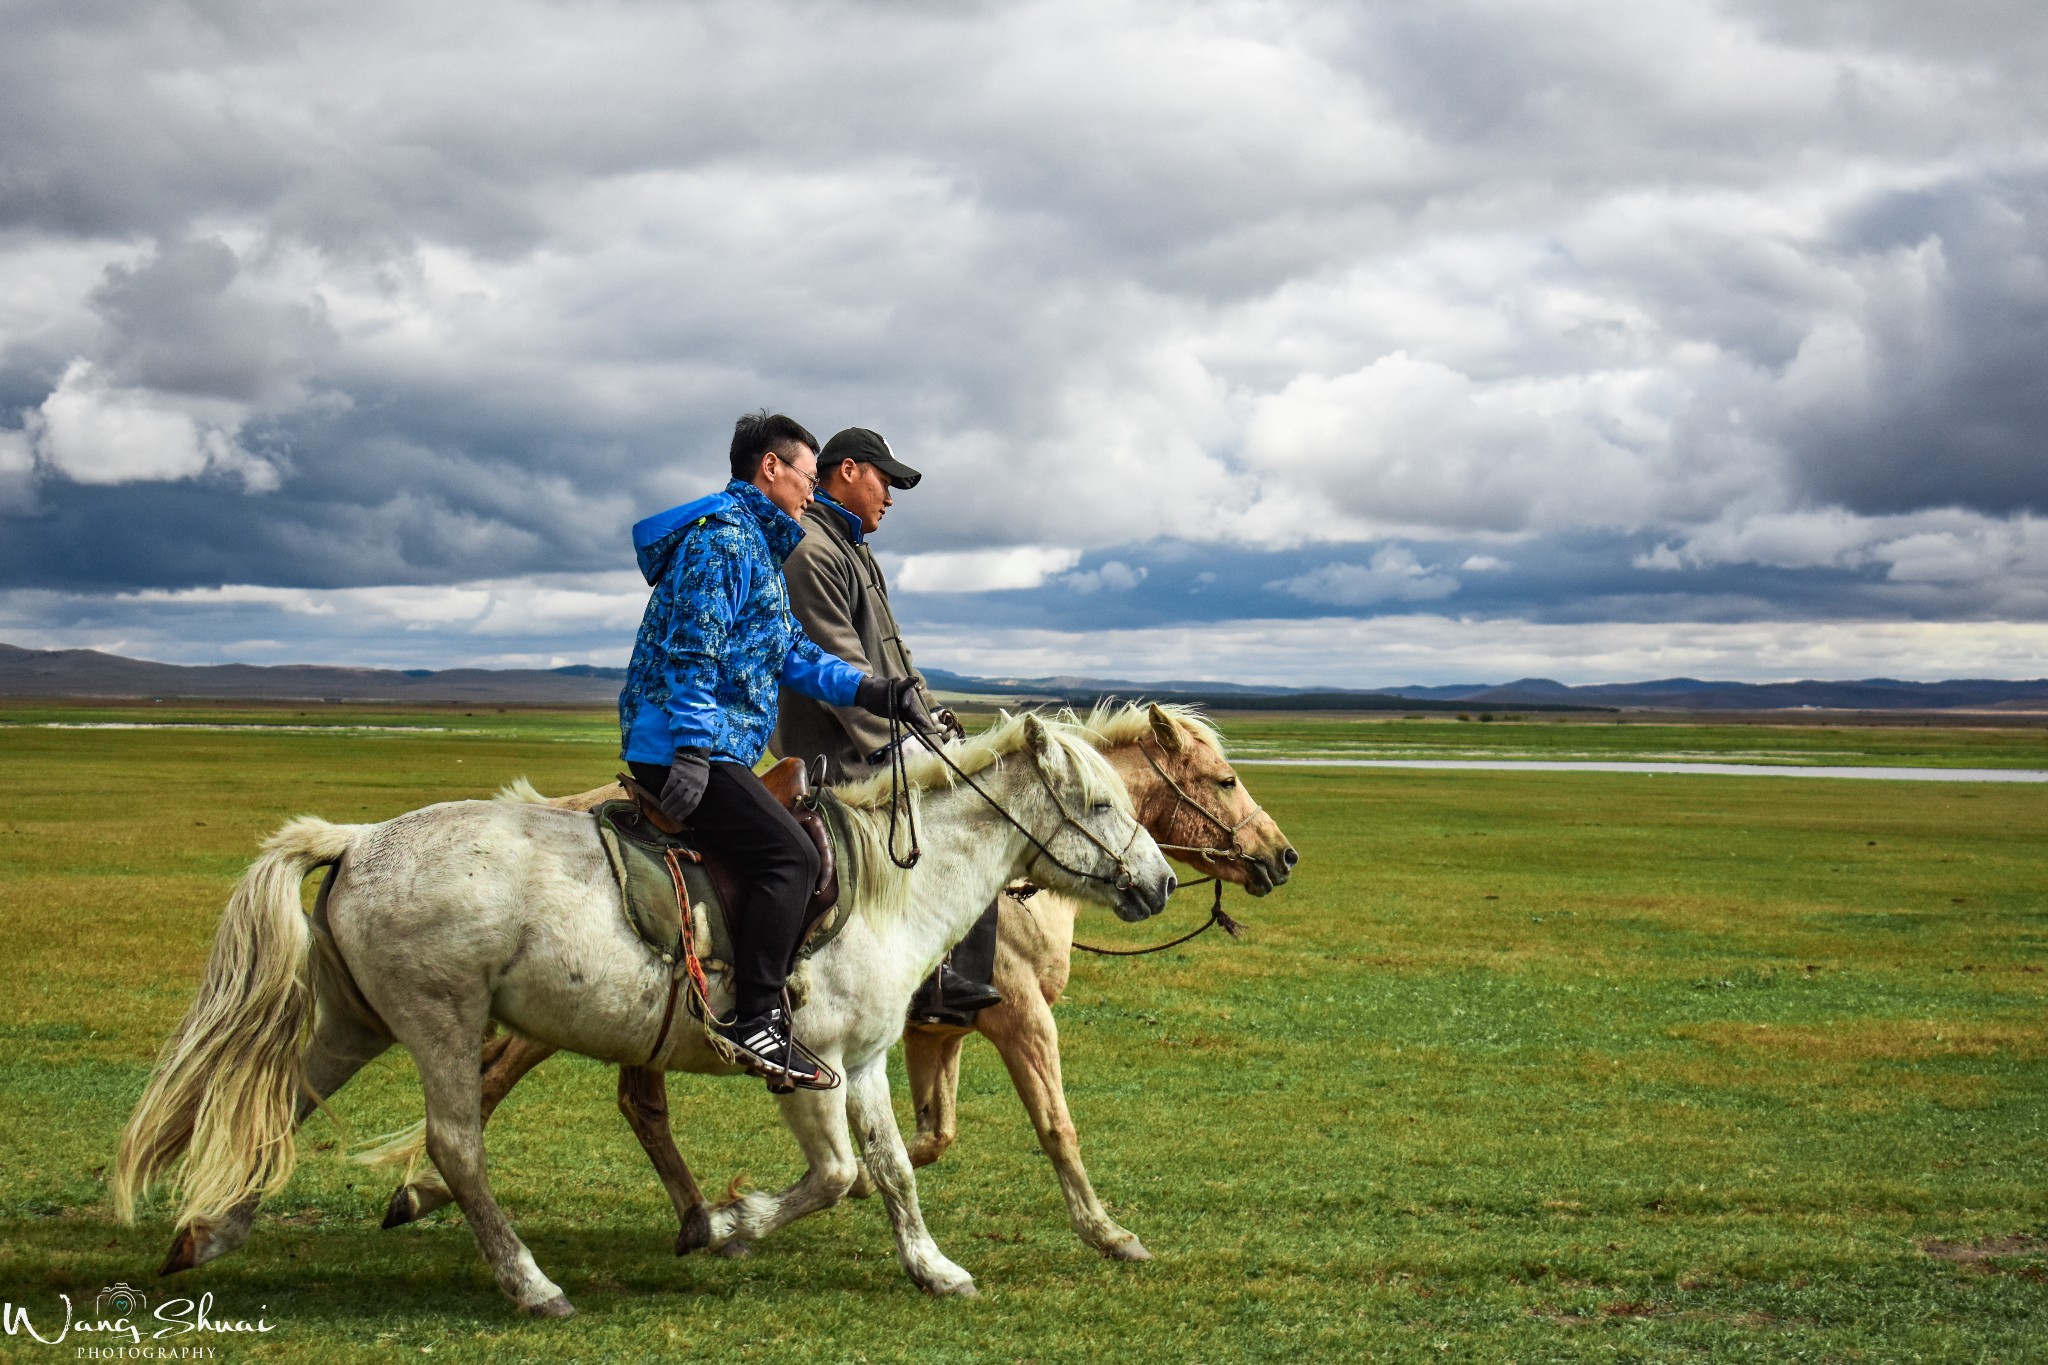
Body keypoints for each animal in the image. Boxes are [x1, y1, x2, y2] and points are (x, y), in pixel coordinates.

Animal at [116, 712, 1171, 1317]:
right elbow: (835, 1174)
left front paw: (934, 1268)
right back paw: (531, 1284)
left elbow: (893, 1170)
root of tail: (362, 837)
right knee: (456, 1143)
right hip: (440, 1021)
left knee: (280, 1106)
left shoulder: (867, 1060)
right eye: (1099, 801)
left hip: (354, 1021)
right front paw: (731, 1220)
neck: (884, 884)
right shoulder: (808, 1066)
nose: (1159, 882)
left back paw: (207, 1234)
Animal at [380, 712, 1294, 1268]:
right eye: (1222, 779)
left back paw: (697, 1220)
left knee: (633, 1102)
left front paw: (832, 1196)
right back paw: (425, 1194)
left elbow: (928, 1136)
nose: (1281, 857)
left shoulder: (933, 1030)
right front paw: (1110, 1233)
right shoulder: (1021, 1018)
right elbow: (1054, 1126)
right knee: (500, 1079)